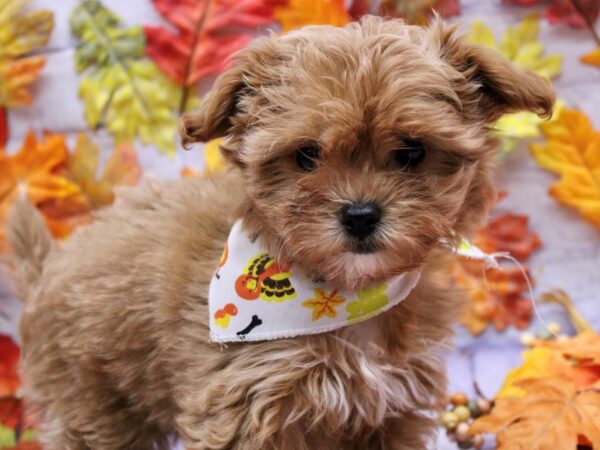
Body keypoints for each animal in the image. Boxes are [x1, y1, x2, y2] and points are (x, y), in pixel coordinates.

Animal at [7, 15, 552, 450]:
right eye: (307, 155)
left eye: (412, 152)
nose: (360, 214)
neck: (343, 298)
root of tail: (48, 267)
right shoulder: (243, 407)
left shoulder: (391, 412)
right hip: (90, 402)